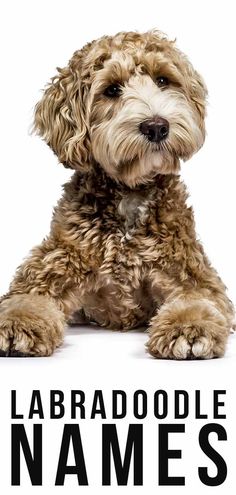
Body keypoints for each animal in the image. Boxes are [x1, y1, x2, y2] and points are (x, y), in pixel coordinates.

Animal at [0, 29, 234, 358]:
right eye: (111, 90)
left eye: (163, 80)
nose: (156, 126)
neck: (129, 193)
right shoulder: (52, 265)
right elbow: (23, 298)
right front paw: (17, 323)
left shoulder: (192, 273)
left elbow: (198, 300)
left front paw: (188, 329)